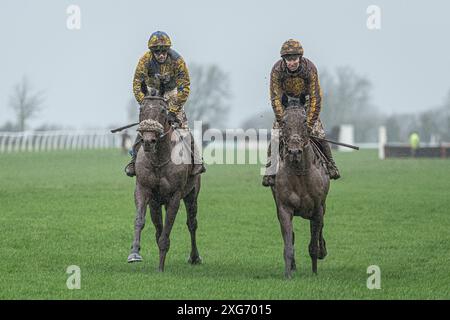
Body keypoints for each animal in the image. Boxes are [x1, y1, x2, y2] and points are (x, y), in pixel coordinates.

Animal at [125, 96, 201, 272]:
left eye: (162, 110)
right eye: (141, 108)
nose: (148, 141)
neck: (159, 160)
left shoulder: (175, 196)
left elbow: (167, 228)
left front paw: (160, 266)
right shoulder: (144, 190)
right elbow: (141, 221)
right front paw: (134, 253)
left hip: (192, 194)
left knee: (192, 223)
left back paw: (194, 257)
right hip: (157, 202)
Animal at [270, 105, 330, 278]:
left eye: (304, 121)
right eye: (284, 121)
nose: (294, 151)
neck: (299, 174)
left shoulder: (317, 209)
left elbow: (314, 243)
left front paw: (315, 272)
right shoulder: (283, 209)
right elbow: (289, 244)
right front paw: (288, 274)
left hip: (322, 206)